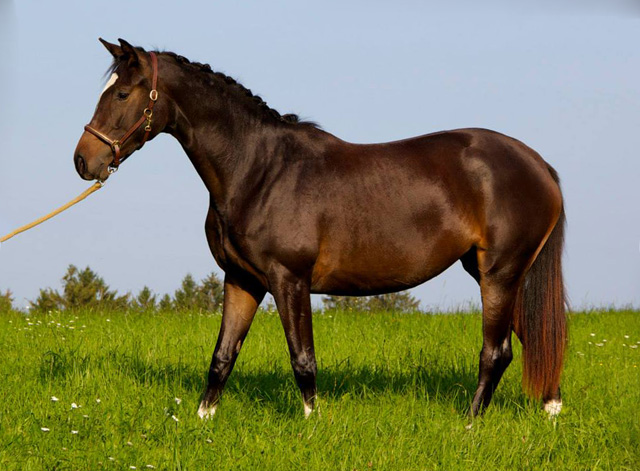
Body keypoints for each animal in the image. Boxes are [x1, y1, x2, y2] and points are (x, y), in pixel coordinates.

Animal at [72, 38, 568, 418]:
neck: (259, 169)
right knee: (533, 341)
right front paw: (200, 422)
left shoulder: (290, 280)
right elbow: (222, 358)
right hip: (493, 272)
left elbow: (303, 359)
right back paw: (551, 411)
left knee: (496, 352)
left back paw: (469, 424)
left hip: (499, 273)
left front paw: (313, 425)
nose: (83, 161)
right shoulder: (242, 279)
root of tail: (538, 164)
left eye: (122, 94)